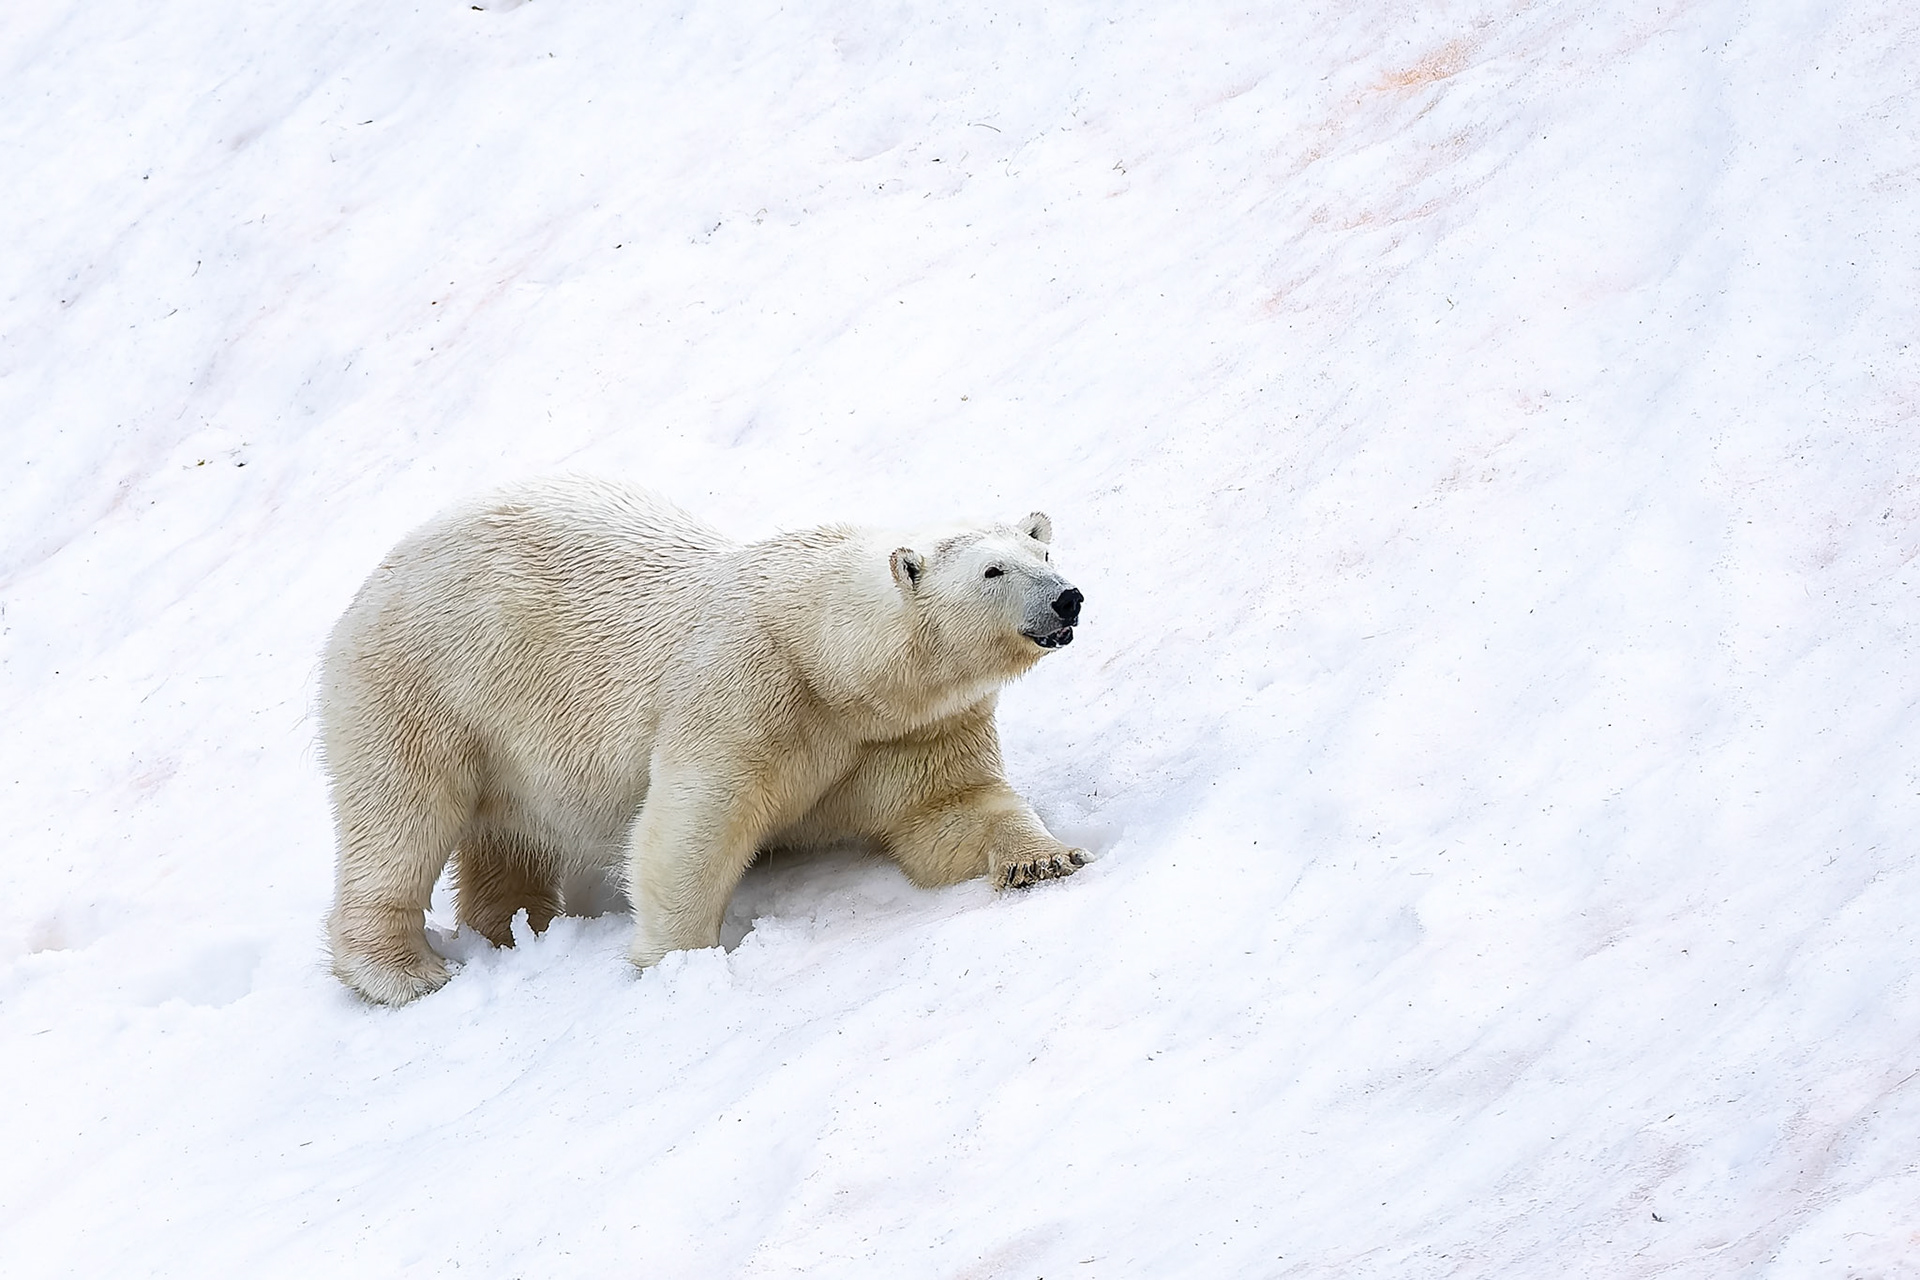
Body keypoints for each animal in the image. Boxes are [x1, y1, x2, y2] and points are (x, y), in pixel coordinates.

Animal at [319, 477, 1088, 1005]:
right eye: (992, 571)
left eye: (1044, 547)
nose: (1067, 597)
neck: (833, 663)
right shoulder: (748, 690)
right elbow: (694, 824)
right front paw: (678, 964)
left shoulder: (908, 731)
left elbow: (951, 808)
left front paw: (1045, 859)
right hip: (424, 686)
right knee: (401, 816)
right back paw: (404, 973)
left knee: (506, 845)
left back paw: (511, 929)